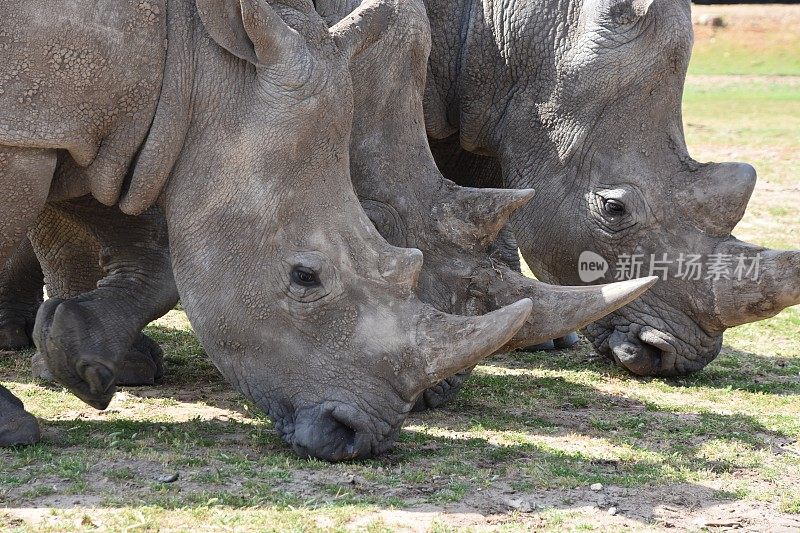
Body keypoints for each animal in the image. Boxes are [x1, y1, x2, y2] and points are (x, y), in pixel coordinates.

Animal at [0, 0, 544, 460]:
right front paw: (14, 428)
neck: (203, 65)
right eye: (305, 277)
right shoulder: (31, 129)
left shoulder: (108, 131)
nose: (358, 438)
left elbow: (148, 251)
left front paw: (76, 353)